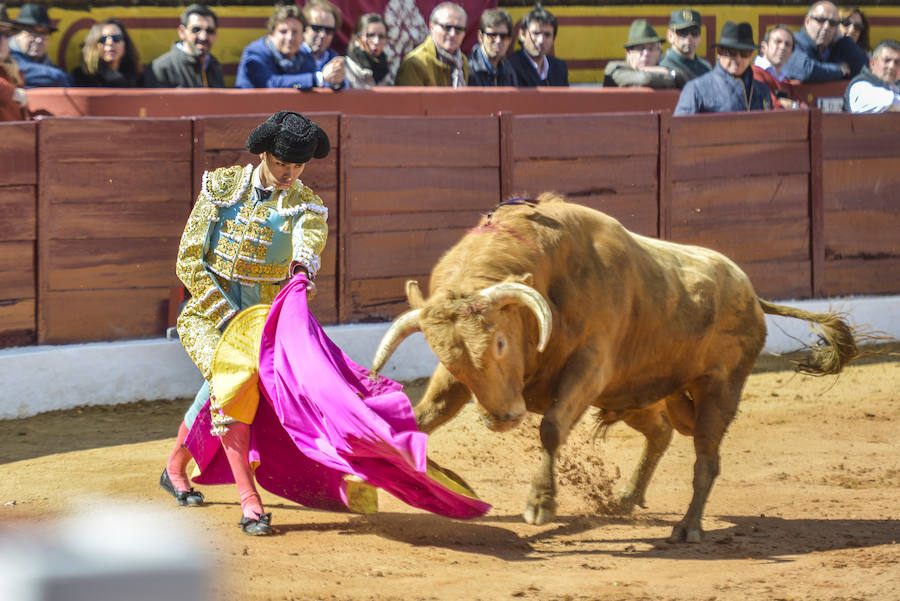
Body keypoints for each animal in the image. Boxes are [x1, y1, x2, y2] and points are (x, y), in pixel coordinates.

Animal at [370, 195, 860, 540]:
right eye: (447, 356)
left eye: (501, 342)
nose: (502, 418)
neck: (546, 269)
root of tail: (751, 292)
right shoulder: (457, 384)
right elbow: (421, 417)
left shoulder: (589, 368)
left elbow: (551, 427)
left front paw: (541, 503)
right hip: (642, 393)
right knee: (662, 431)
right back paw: (628, 497)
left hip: (716, 390)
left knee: (706, 458)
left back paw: (688, 527)